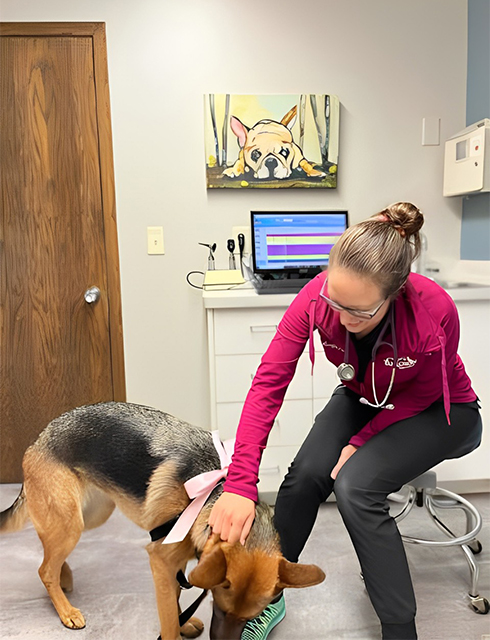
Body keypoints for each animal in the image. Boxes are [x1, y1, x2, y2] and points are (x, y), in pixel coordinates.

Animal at [0, 402, 326, 636]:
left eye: (253, 618)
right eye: (219, 608)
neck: (209, 494)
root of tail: (40, 437)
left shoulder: (177, 560)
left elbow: (176, 598)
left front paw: (184, 621)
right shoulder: (161, 561)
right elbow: (168, 619)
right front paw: (177, 627)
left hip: (90, 516)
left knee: (47, 552)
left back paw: (63, 576)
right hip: (71, 522)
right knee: (44, 567)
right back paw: (65, 609)